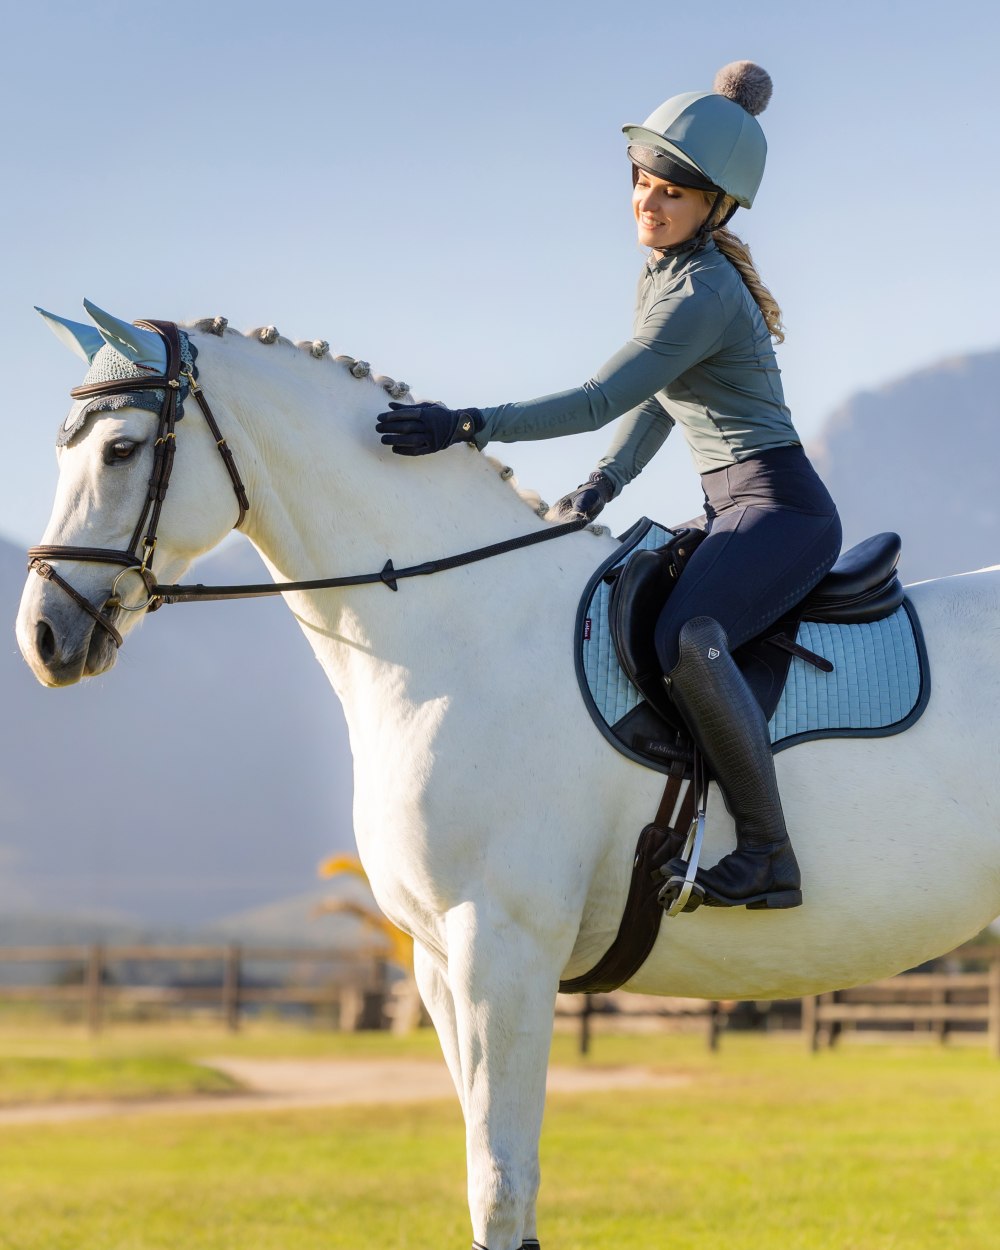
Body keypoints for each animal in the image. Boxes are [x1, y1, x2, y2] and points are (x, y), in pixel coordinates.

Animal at [15, 305, 1000, 1250]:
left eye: (119, 449)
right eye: (64, 447)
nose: (43, 638)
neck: (463, 628)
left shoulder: (504, 949)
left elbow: (498, 1185)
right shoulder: (440, 964)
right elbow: (506, 1189)